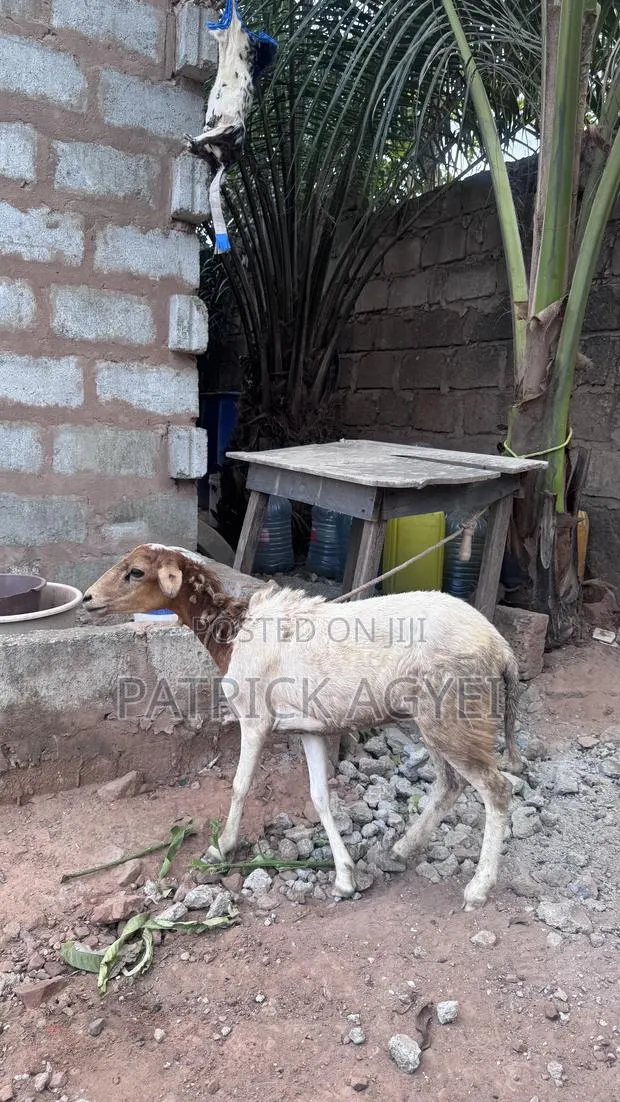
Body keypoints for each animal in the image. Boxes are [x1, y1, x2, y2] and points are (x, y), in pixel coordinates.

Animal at [83, 542, 521, 910]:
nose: (87, 599)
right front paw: (344, 877)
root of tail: (501, 648)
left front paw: (221, 847)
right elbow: (320, 797)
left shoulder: (254, 719)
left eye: (136, 572)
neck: (233, 632)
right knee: (450, 785)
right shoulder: (309, 728)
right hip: (439, 722)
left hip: (455, 716)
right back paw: (402, 848)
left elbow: (240, 786)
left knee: (497, 790)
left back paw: (478, 887)